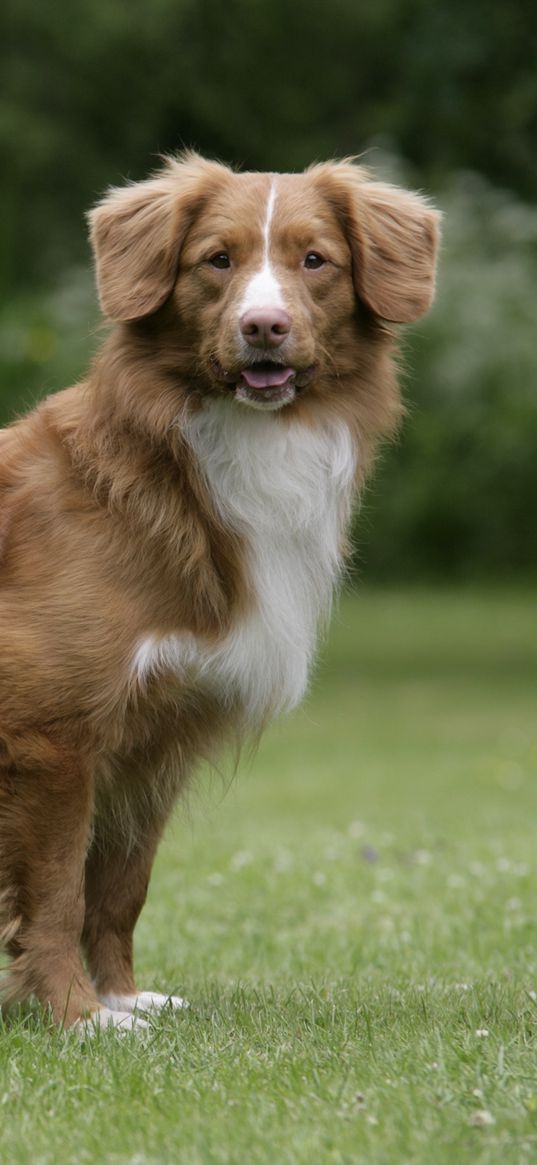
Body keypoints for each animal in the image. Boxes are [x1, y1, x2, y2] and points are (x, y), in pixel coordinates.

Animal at [0, 152, 437, 1029]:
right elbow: (58, 890)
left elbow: (119, 886)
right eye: (217, 260)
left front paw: (122, 995)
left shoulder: (152, 736)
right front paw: (78, 1015)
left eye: (315, 260)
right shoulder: (50, 735)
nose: (262, 326)